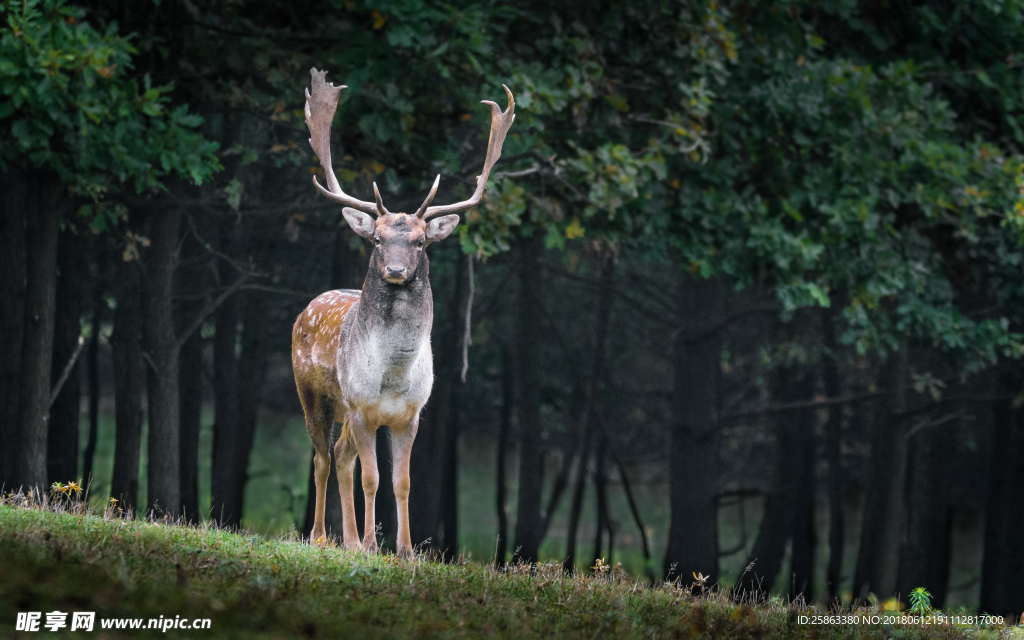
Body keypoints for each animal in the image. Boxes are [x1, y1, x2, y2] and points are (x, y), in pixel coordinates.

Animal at [290, 66, 516, 552]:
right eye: (377, 239)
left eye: (420, 241)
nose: (395, 269)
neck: (392, 377)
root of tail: (308, 307)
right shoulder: (361, 407)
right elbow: (372, 478)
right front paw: (374, 545)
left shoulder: (411, 415)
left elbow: (402, 482)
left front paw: (405, 549)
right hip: (314, 394)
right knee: (322, 457)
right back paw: (322, 537)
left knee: (341, 456)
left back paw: (349, 539)